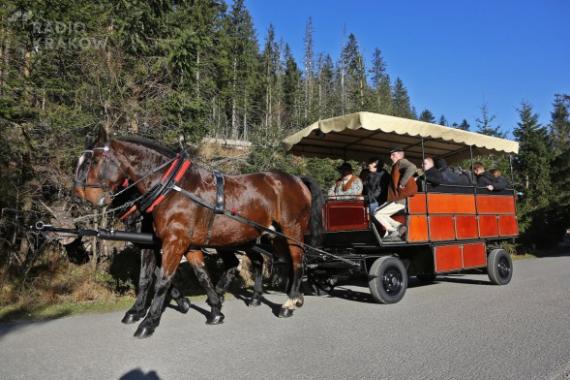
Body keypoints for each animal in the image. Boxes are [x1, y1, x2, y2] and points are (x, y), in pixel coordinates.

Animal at [75, 128, 322, 338]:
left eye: (94, 161)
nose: (80, 195)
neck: (172, 188)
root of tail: (297, 179)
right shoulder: (184, 244)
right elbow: (198, 275)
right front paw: (215, 310)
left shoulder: (173, 243)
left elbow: (162, 280)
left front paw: (149, 321)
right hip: (273, 236)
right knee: (282, 262)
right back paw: (291, 298)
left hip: (291, 230)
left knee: (297, 262)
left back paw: (288, 304)